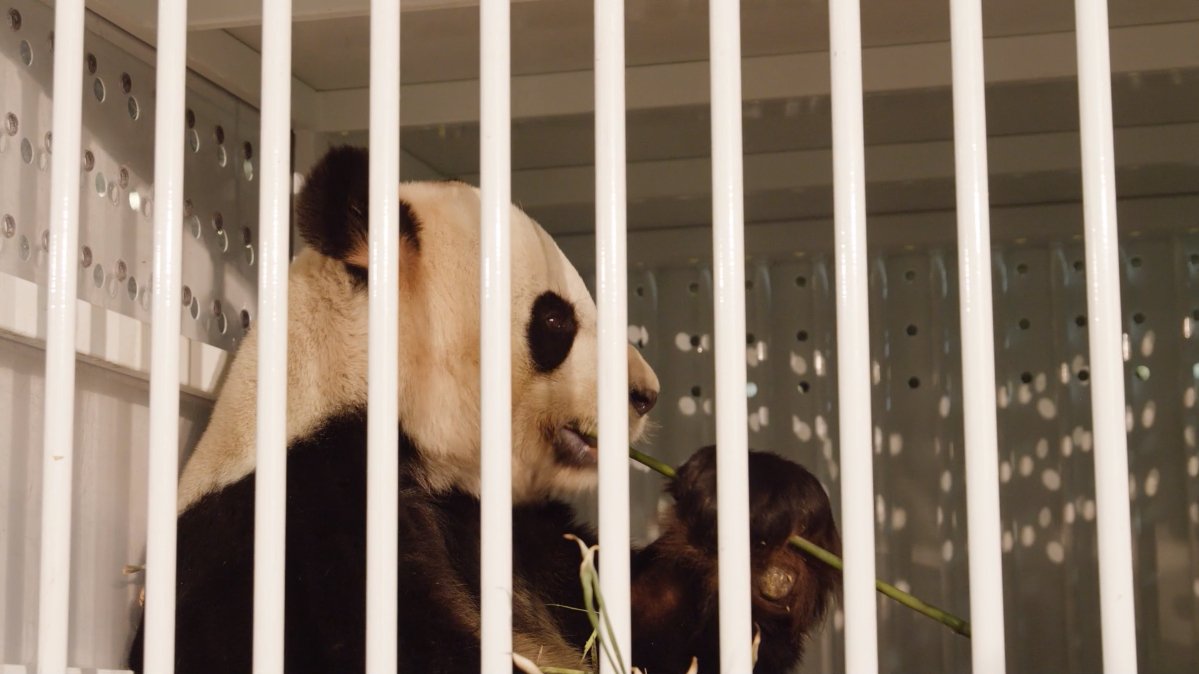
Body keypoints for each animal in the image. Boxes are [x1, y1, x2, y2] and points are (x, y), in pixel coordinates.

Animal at [127, 146, 840, 674]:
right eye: (555, 320)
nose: (646, 393)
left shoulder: (521, 537)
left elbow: (655, 632)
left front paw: (758, 513)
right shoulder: (302, 526)